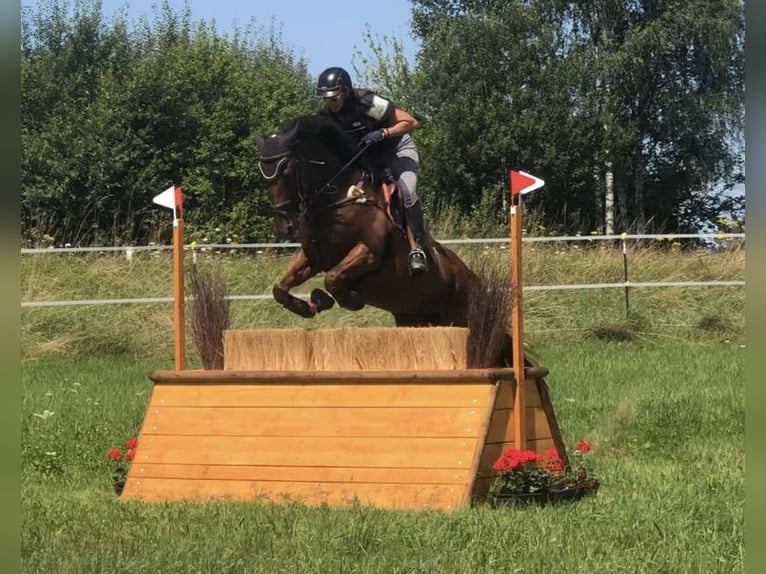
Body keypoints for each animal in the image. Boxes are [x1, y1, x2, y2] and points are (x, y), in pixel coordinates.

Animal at [252, 113, 480, 328]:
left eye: (287, 170)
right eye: (262, 175)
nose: (284, 226)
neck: (335, 200)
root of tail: (472, 277)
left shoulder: (368, 252)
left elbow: (332, 279)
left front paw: (345, 299)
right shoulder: (312, 257)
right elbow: (280, 288)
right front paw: (314, 304)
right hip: (413, 318)